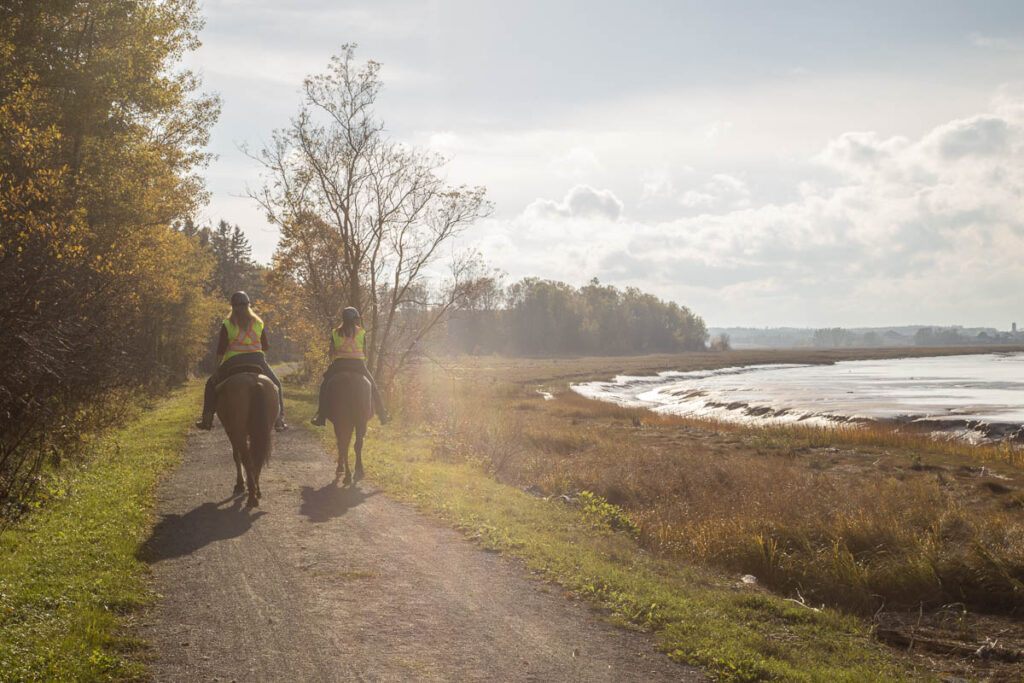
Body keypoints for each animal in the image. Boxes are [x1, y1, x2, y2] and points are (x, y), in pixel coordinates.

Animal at [215, 368, 280, 507]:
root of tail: (255, 383)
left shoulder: (232, 431)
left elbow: (236, 456)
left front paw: (240, 484)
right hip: (264, 430)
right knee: (257, 458)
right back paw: (256, 491)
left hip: (239, 432)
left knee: (246, 458)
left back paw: (251, 497)